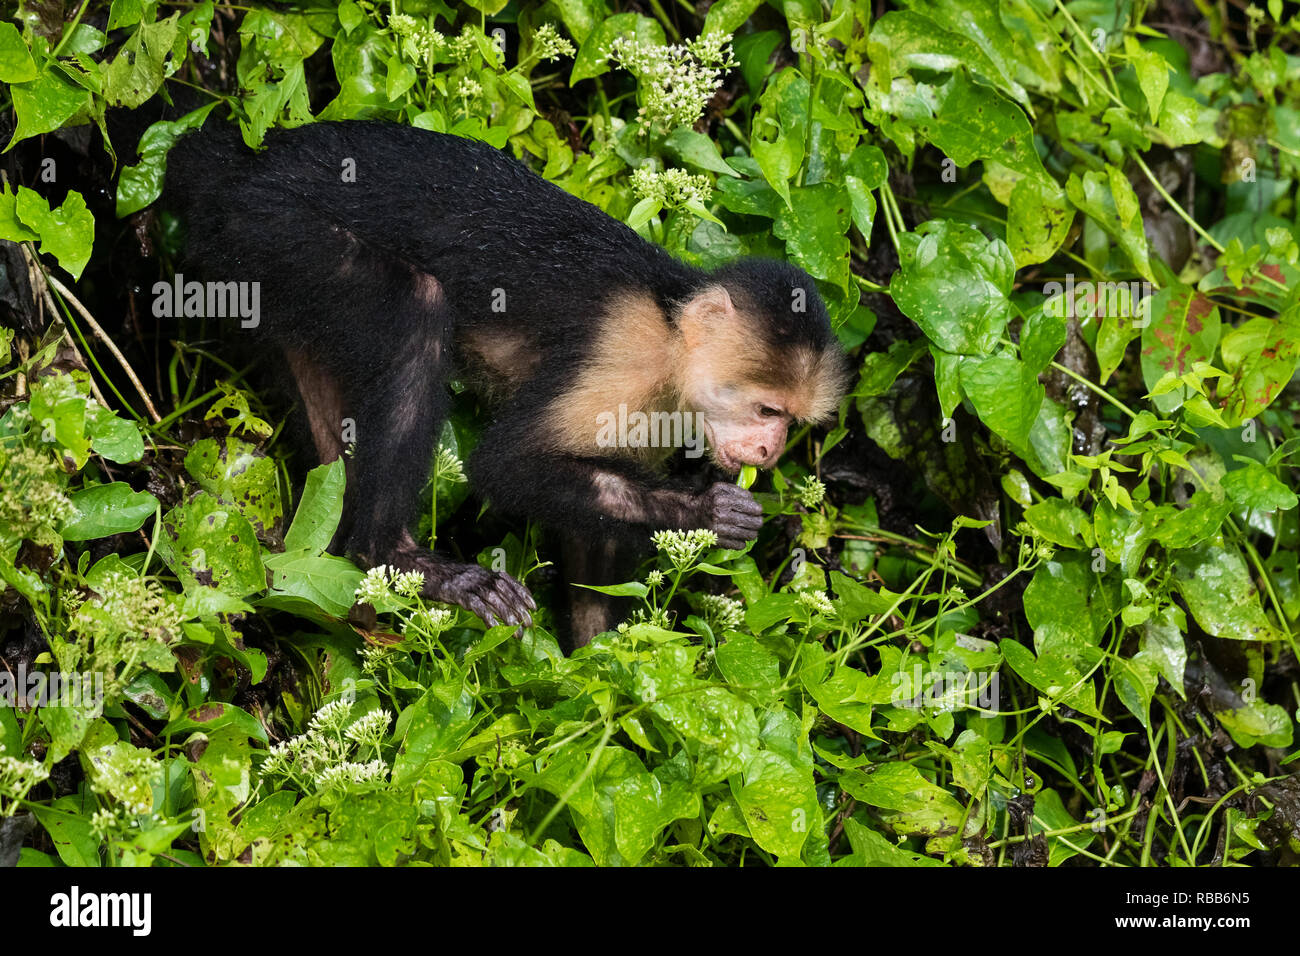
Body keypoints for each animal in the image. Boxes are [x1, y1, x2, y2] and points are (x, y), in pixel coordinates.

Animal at [159, 117, 852, 642]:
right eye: (767, 411)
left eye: (790, 422)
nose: (770, 451)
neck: (672, 328)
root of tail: (245, 164)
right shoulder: (626, 353)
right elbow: (505, 464)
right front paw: (705, 508)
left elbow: (593, 536)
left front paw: (596, 670)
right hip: (269, 226)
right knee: (416, 308)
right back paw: (391, 554)